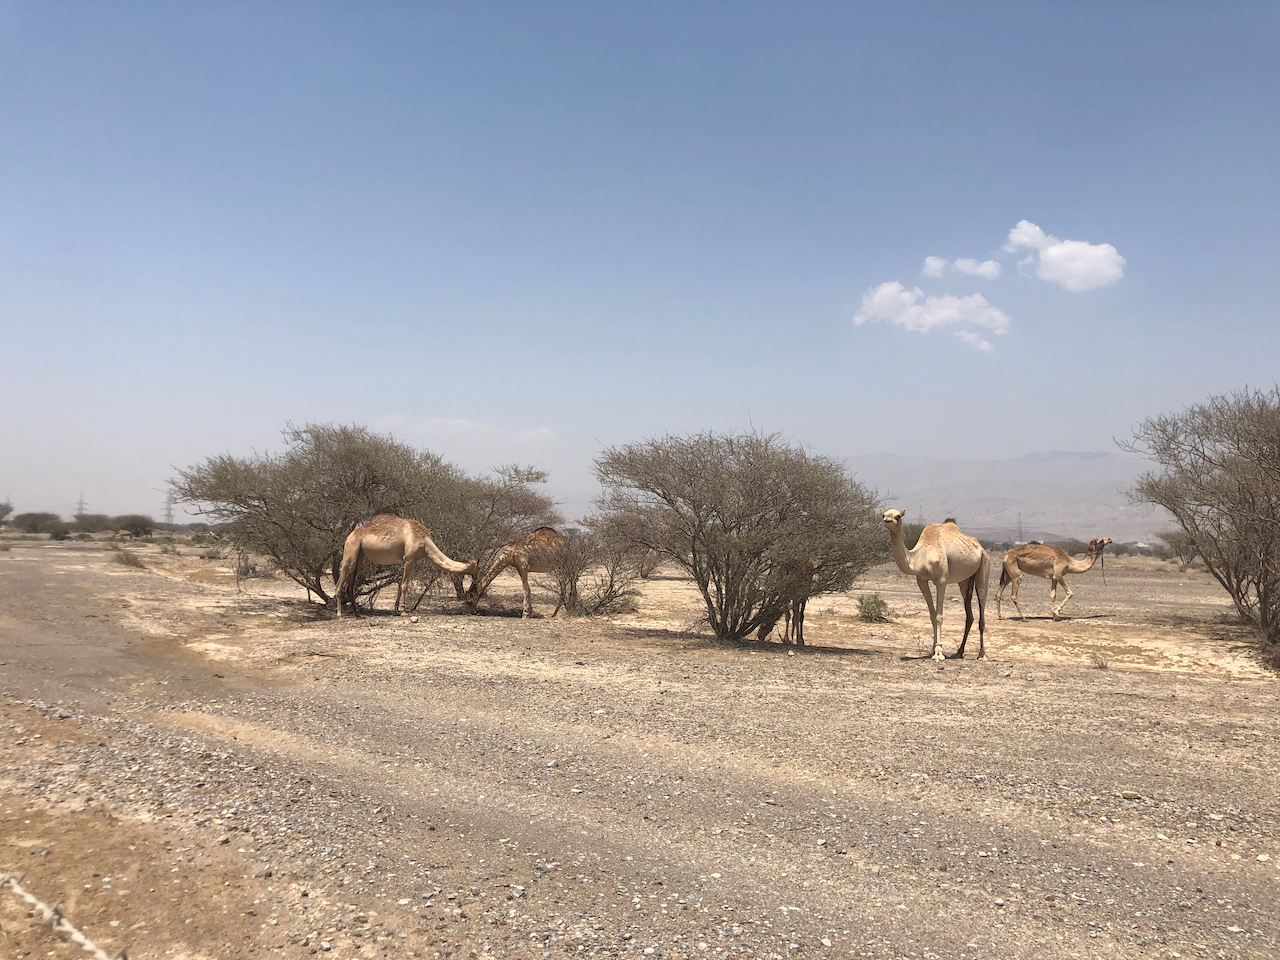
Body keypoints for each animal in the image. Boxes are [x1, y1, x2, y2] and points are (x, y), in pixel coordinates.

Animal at [335, 513, 478, 619]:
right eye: (477, 568)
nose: (476, 579)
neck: (425, 543)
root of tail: (348, 537)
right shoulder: (410, 559)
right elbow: (404, 585)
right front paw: (404, 611)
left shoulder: (404, 561)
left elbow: (400, 585)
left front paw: (396, 611)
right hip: (351, 549)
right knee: (341, 578)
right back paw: (340, 615)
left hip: (359, 555)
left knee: (350, 584)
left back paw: (358, 615)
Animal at [882, 509, 991, 661]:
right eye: (883, 514)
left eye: (898, 516)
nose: (887, 520)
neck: (922, 556)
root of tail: (981, 548)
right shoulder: (921, 580)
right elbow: (932, 616)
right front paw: (933, 650)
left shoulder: (942, 580)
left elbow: (939, 616)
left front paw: (939, 652)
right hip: (965, 580)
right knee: (969, 613)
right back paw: (959, 652)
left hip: (984, 565)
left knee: (981, 604)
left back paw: (982, 654)